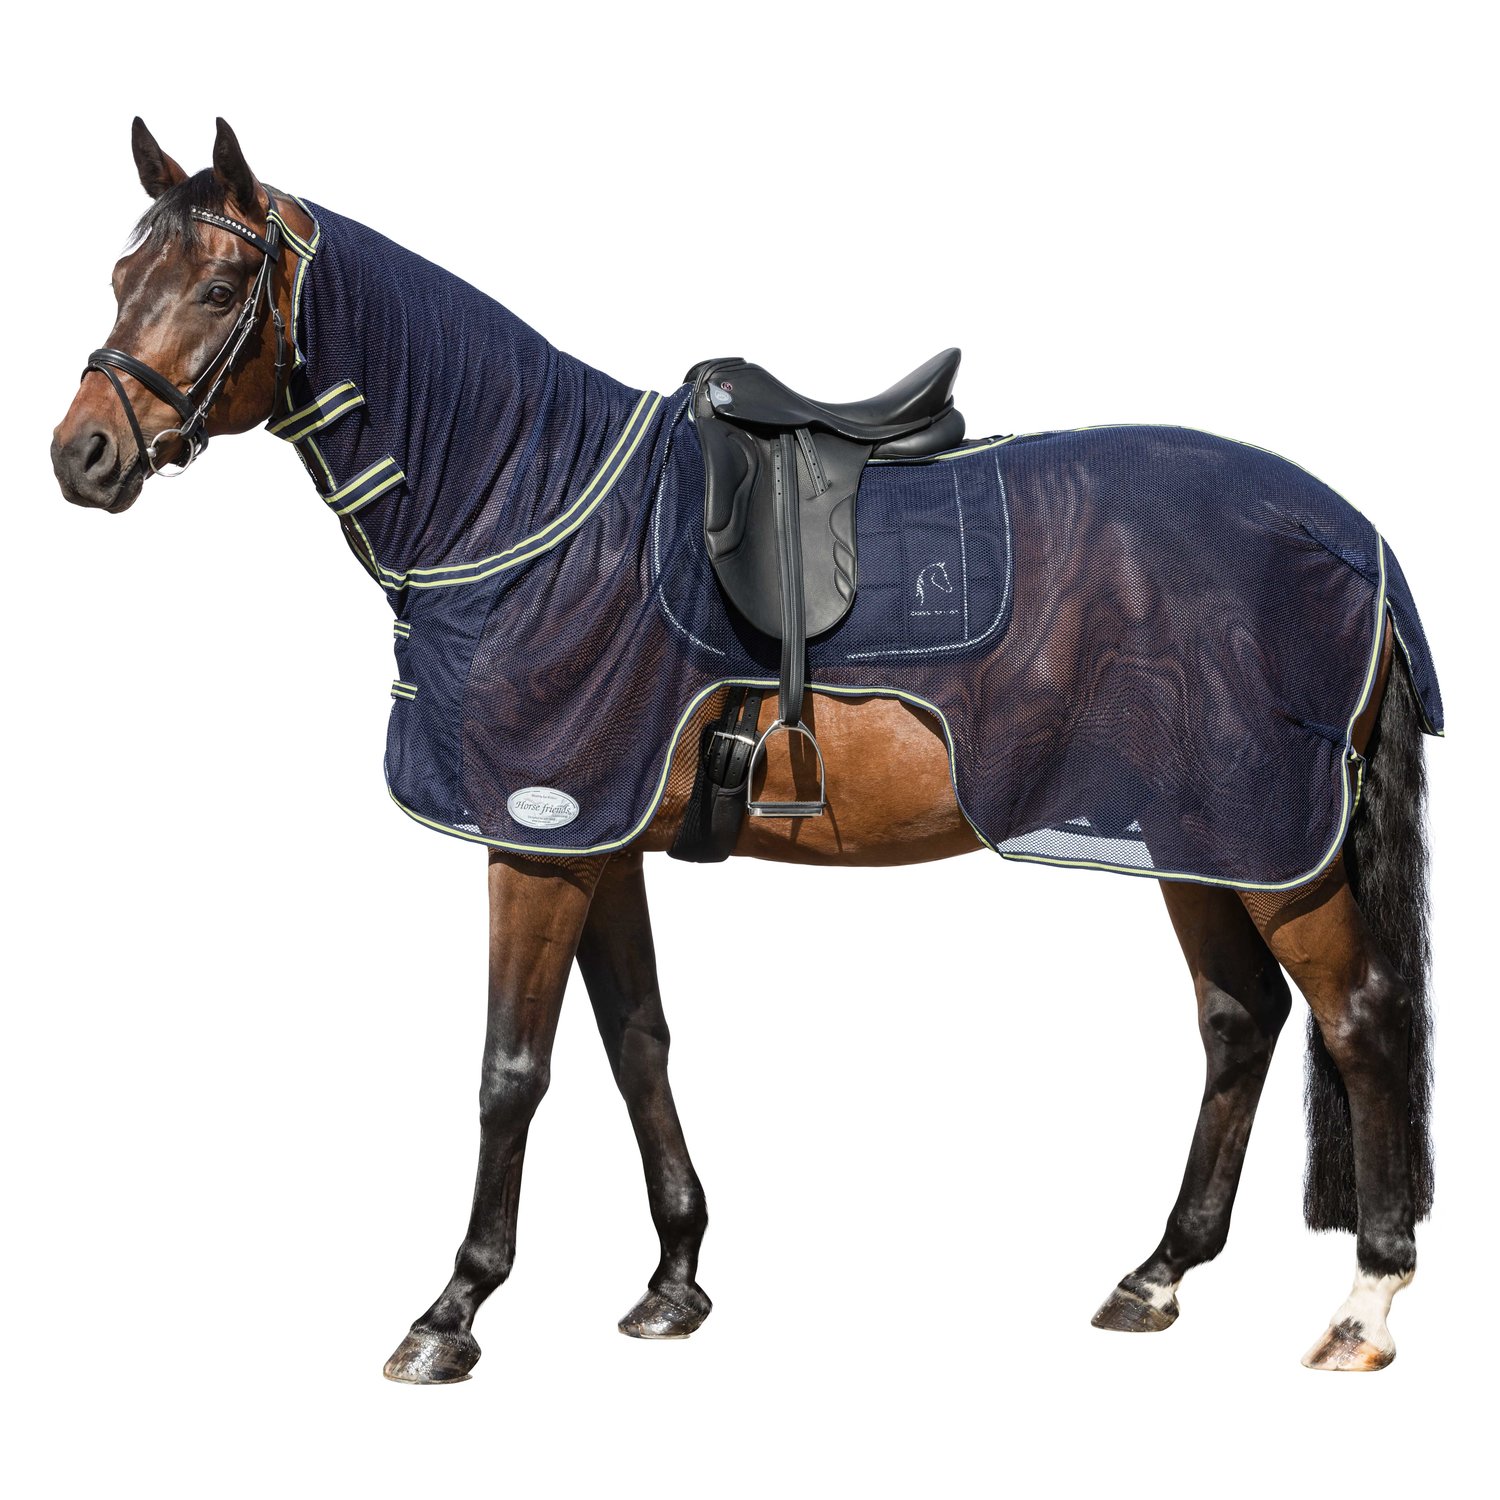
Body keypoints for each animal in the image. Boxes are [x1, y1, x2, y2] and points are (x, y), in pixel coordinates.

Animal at [50, 119, 1441, 1382]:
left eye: (219, 289)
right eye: (121, 277)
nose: (81, 455)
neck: (528, 510)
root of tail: (1349, 532)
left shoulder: (534, 841)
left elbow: (513, 1069)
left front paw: (452, 1312)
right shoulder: (597, 837)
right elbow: (637, 1044)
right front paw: (673, 1279)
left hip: (1265, 842)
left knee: (1360, 1016)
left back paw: (1366, 1304)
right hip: (1186, 837)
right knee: (1241, 1020)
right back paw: (1157, 1275)